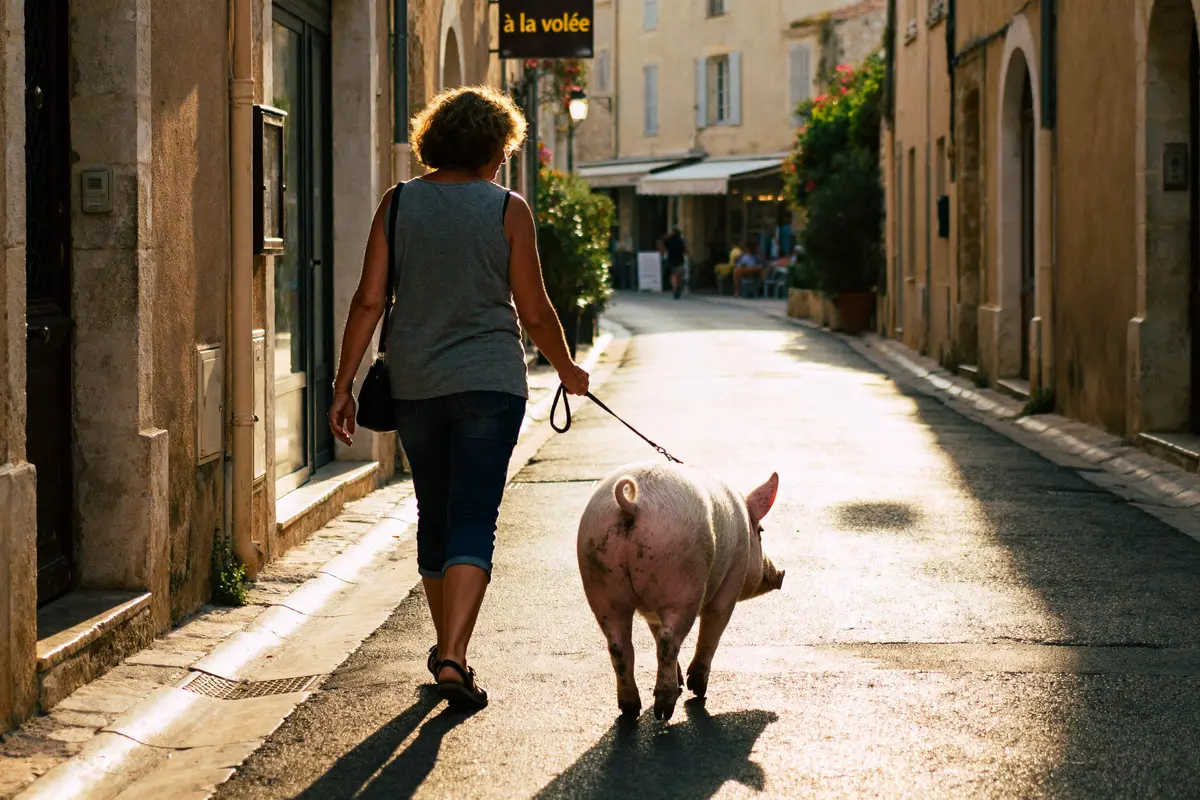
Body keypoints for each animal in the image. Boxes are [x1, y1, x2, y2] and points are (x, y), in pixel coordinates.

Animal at [576, 462, 784, 722]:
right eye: (762, 531)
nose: (781, 574)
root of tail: (632, 504)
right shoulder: (731, 582)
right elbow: (712, 629)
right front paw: (696, 689)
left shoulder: (651, 612)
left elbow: (654, 631)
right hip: (682, 581)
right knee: (668, 641)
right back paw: (665, 710)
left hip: (600, 580)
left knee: (619, 646)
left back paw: (631, 709)